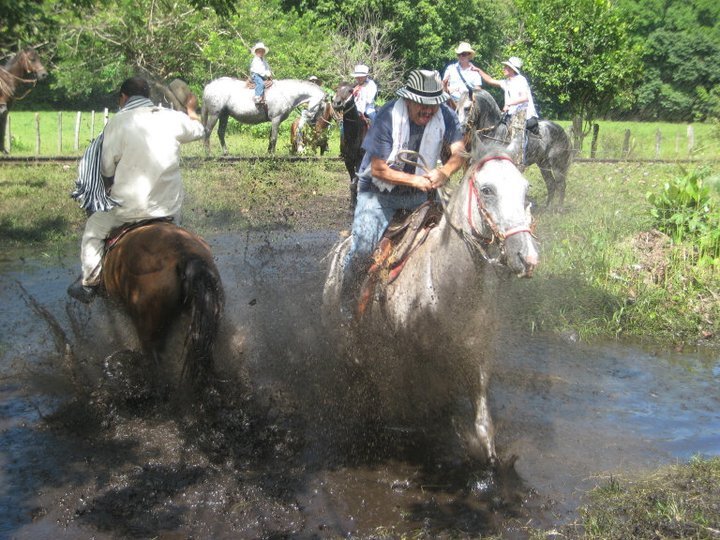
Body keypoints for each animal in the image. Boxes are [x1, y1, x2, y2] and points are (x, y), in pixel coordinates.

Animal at [324, 143, 536, 464]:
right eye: (487, 190)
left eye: (525, 189)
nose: (526, 257)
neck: (447, 281)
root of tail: (340, 249)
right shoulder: (411, 359)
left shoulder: (476, 352)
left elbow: (483, 426)